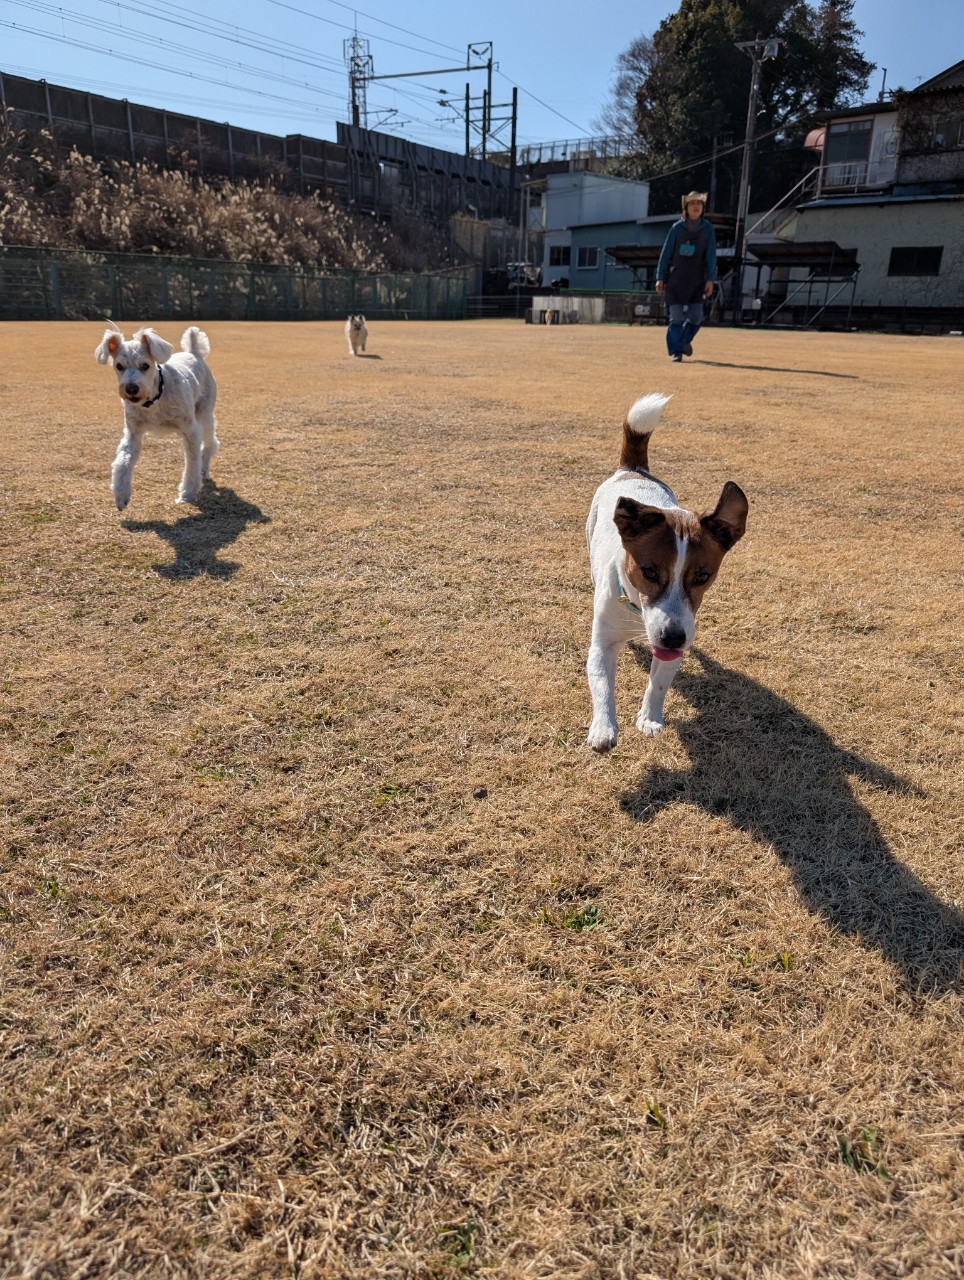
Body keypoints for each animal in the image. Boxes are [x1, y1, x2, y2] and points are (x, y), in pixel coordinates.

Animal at [95, 322, 218, 511]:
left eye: (145, 365)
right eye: (119, 366)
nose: (131, 389)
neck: (154, 401)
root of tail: (193, 352)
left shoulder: (191, 430)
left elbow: (192, 462)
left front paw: (188, 493)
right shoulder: (133, 433)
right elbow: (123, 461)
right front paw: (121, 494)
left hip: (204, 415)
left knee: (210, 443)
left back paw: (204, 469)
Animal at [585, 393, 748, 750]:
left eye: (702, 576)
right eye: (648, 571)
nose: (673, 638)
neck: (636, 610)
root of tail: (635, 470)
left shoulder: (677, 637)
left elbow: (658, 683)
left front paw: (649, 717)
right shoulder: (603, 640)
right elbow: (602, 682)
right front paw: (603, 727)